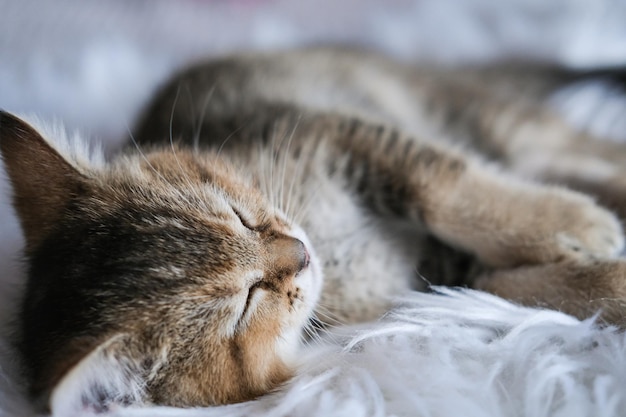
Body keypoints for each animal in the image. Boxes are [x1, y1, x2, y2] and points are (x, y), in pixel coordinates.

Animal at [1, 47, 624, 412]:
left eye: (238, 213)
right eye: (245, 304)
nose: (299, 253)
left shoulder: (332, 131)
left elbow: (443, 185)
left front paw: (572, 223)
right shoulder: (428, 277)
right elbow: (519, 287)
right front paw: (607, 281)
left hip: (492, 123)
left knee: (583, 152)